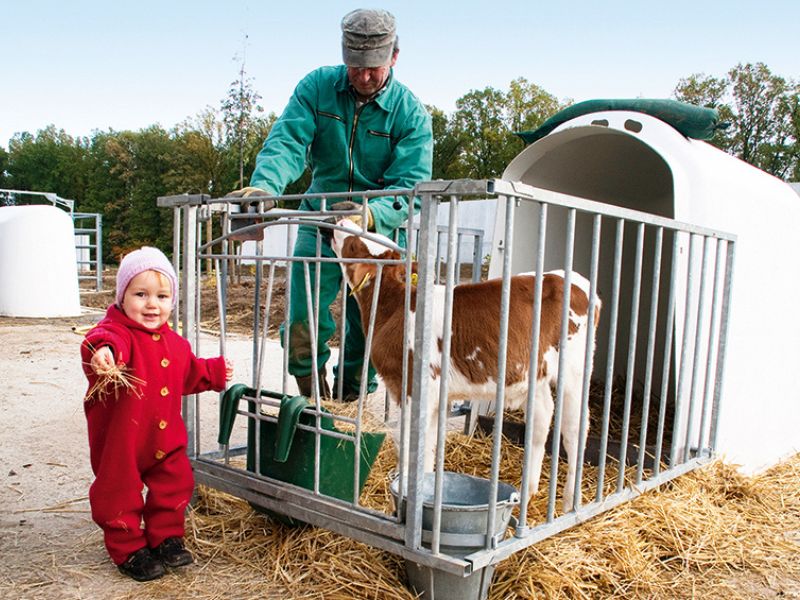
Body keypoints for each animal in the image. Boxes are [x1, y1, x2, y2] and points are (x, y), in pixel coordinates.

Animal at [332, 218, 600, 508]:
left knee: (574, 430)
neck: (393, 307)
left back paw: (569, 503)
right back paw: (526, 493)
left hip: (574, 372)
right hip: (535, 375)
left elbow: (411, 446)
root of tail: (573, 280)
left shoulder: (413, 387)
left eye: (356, 243)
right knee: (541, 420)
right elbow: (427, 449)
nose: (342, 219)